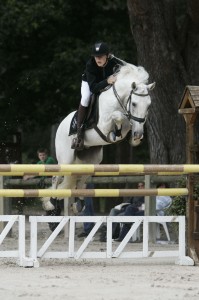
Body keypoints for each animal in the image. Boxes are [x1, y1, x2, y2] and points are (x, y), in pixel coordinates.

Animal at [42, 63, 155, 211]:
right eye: (134, 103)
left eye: (148, 105)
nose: (138, 135)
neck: (119, 101)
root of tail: (61, 124)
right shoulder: (104, 124)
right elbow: (118, 116)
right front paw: (116, 133)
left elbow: (128, 122)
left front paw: (133, 138)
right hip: (66, 158)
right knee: (56, 177)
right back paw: (52, 202)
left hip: (91, 161)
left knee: (80, 180)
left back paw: (79, 205)